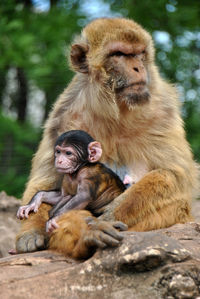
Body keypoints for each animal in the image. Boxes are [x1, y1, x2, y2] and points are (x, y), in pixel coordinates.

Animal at [16, 17, 198, 258]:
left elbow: (175, 175)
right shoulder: (64, 116)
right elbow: (47, 181)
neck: (115, 109)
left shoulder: (163, 111)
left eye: (139, 53)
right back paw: (89, 235)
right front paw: (30, 230)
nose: (138, 67)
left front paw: (111, 213)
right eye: (119, 54)